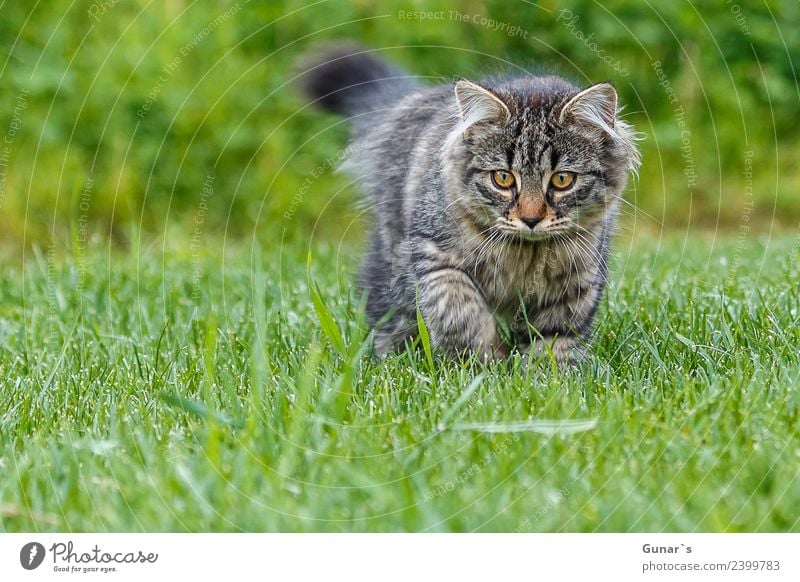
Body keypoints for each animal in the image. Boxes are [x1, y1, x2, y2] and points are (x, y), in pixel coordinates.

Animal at [296, 43, 640, 368]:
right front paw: (484, 362)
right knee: (385, 316)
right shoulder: (433, 255)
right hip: (391, 265)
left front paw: (549, 379)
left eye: (562, 180)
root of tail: (410, 101)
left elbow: (554, 342)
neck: (524, 254)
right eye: (503, 178)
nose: (530, 219)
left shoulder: (576, 283)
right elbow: (460, 312)